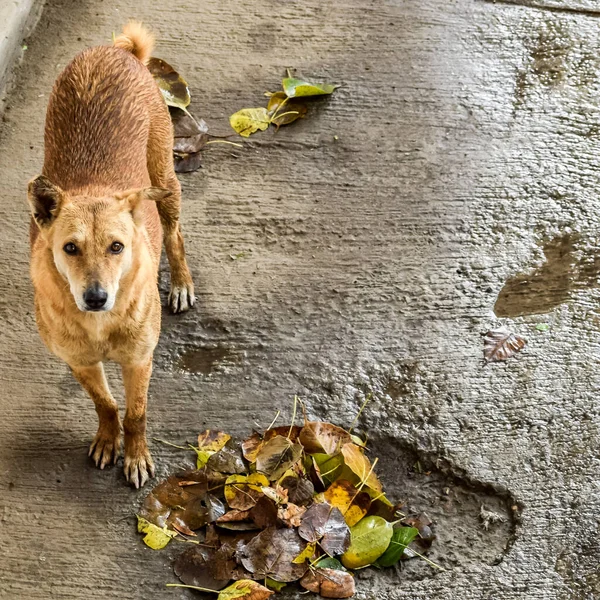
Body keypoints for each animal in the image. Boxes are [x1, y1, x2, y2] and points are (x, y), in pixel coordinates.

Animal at [27, 22, 193, 488]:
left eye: (117, 246)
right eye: (70, 248)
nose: (96, 297)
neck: (99, 325)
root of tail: (116, 52)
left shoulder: (139, 361)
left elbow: (136, 414)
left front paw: (135, 457)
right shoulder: (80, 363)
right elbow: (106, 404)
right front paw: (107, 440)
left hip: (165, 181)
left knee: (175, 236)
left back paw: (181, 285)